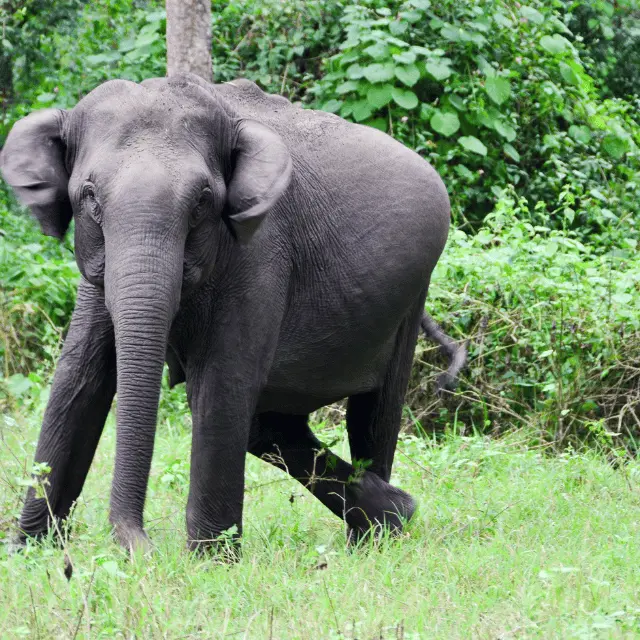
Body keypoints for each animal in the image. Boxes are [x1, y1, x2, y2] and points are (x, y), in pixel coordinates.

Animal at [0, 74, 460, 556]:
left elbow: (220, 385)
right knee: (270, 425)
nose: (142, 548)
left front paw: (210, 560)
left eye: (202, 203)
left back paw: (377, 535)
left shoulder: (259, 251)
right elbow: (79, 380)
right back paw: (388, 513)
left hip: (411, 292)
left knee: (373, 413)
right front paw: (27, 552)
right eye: (89, 198)